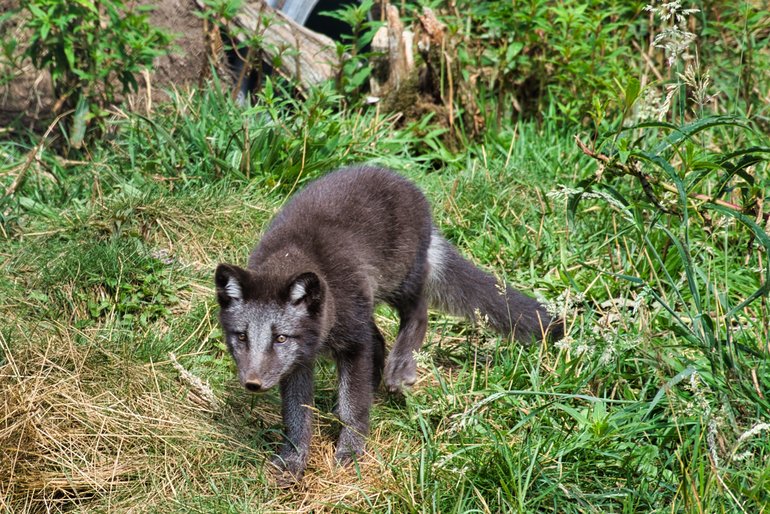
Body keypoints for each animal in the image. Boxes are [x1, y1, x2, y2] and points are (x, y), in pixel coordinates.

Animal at [213, 165, 560, 480]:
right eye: (241, 337)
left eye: (281, 338)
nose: (253, 383)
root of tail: (407, 184)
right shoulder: (299, 363)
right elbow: (296, 416)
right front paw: (293, 460)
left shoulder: (353, 342)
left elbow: (353, 406)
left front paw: (350, 453)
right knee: (379, 339)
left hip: (399, 281)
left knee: (418, 314)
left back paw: (399, 369)